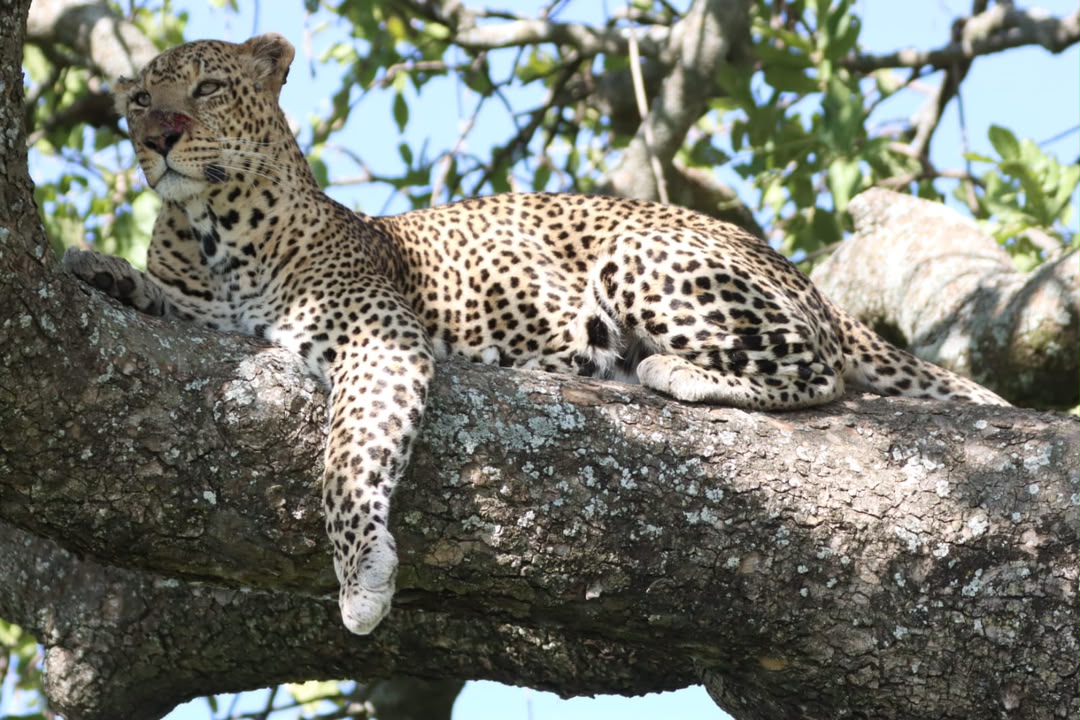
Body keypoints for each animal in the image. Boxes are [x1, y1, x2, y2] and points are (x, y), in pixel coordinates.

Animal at [62, 33, 1009, 635]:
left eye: (208, 89)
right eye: (139, 99)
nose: (159, 135)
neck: (212, 232)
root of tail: (787, 262)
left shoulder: (379, 336)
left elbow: (347, 458)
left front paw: (361, 578)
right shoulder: (208, 308)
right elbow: (166, 299)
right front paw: (101, 266)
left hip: (645, 258)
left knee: (818, 369)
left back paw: (672, 371)